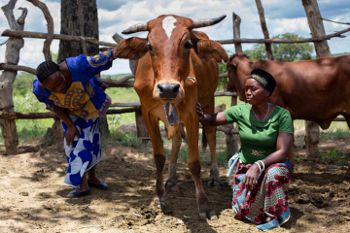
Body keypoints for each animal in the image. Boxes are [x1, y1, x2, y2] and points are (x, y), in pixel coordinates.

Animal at [115, 15, 227, 218]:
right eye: (150, 46)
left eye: (188, 44)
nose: (168, 89)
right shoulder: (148, 114)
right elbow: (159, 157)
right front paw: (161, 197)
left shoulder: (192, 113)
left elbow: (194, 162)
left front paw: (204, 205)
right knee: (177, 139)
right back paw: (172, 178)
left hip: (209, 99)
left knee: (211, 133)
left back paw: (214, 176)